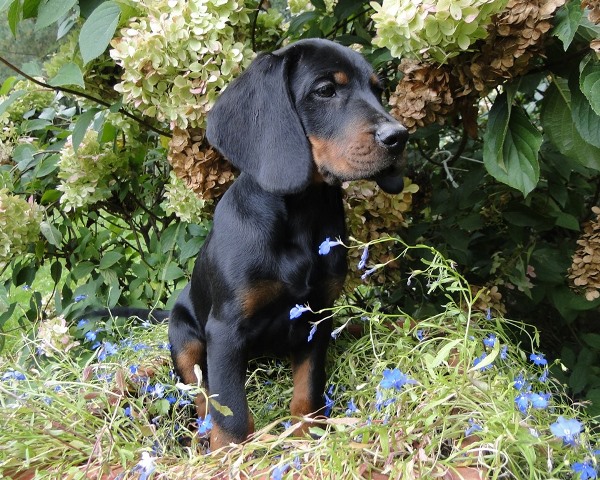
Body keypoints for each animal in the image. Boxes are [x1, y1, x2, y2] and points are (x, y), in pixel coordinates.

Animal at [166, 38, 408, 450]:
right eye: (325, 90)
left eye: (378, 91)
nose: (399, 137)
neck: (301, 218)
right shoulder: (225, 329)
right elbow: (230, 409)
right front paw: (231, 453)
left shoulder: (317, 315)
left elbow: (308, 389)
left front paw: (308, 434)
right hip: (182, 333)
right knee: (198, 390)